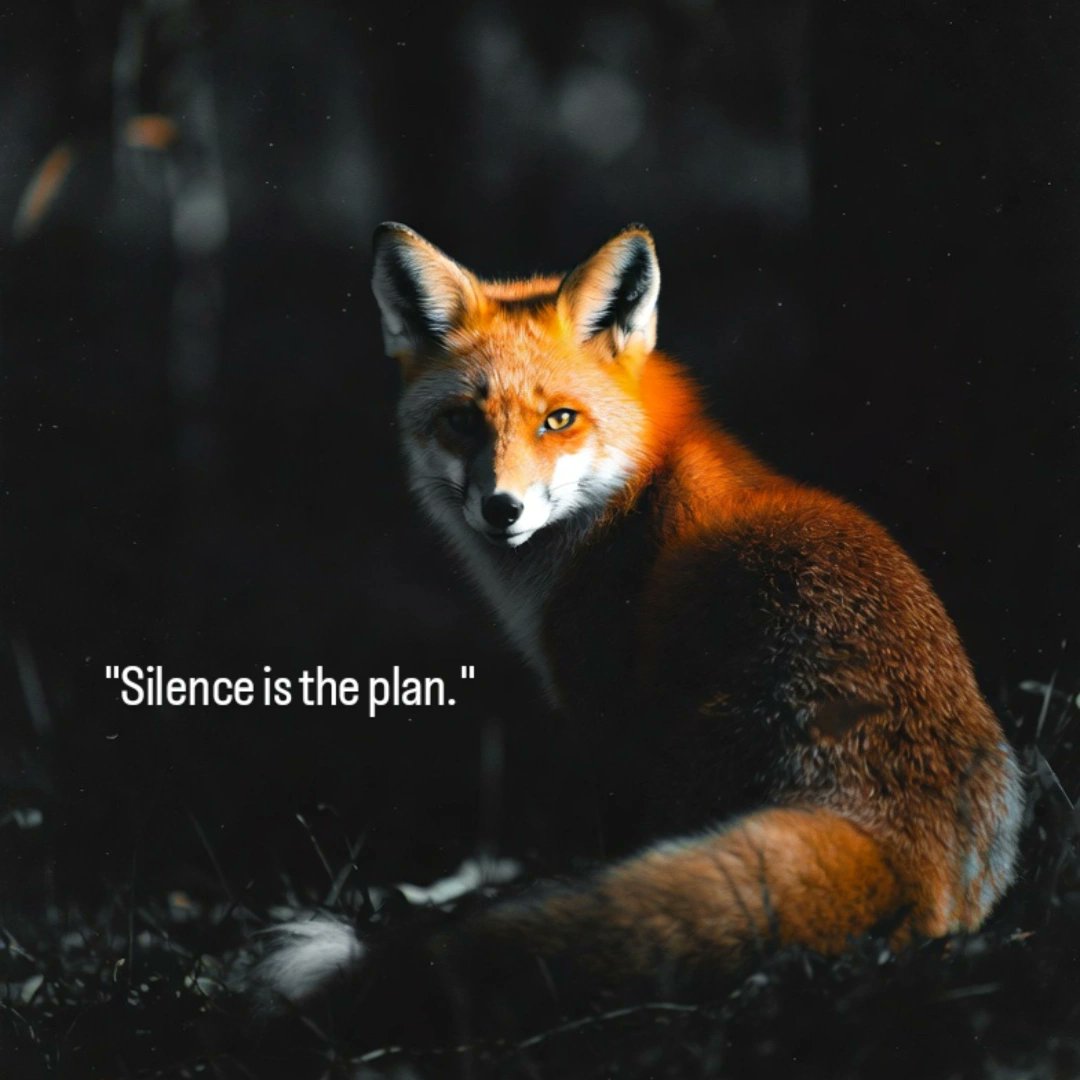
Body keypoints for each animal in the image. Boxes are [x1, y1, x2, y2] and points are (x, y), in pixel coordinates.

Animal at [258, 223, 1023, 1043]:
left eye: (559, 419)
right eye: (463, 419)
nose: (502, 509)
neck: (630, 494)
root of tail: (898, 844)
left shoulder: (607, 721)